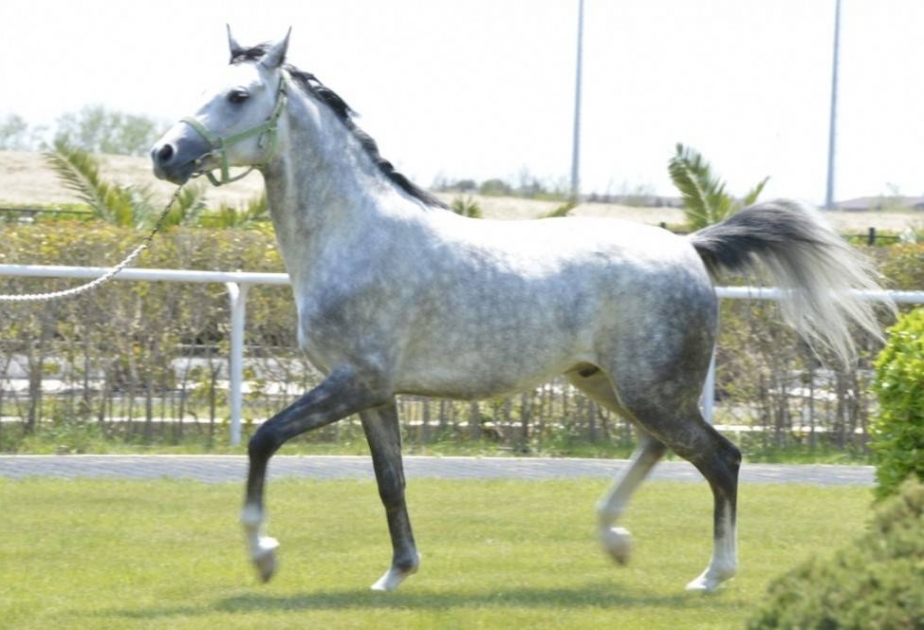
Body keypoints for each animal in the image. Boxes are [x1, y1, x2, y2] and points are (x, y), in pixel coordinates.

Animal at [151, 29, 889, 593]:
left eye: (238, 95)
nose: (164, 153)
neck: (355, 233)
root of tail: (689, 247)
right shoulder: (374, 394)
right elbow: (391, 484)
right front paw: (396, 574)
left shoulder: (353, 381)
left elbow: (263, 439)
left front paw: (263, 554)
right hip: (612, 384)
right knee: (664, 448)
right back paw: (615, 538)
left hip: (652, 390)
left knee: (721, 458)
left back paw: (712, 575)